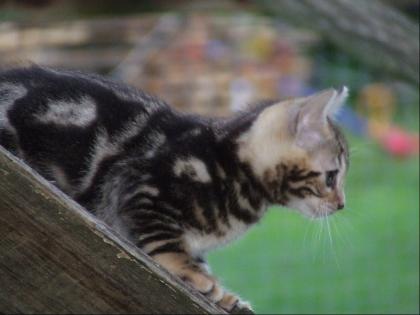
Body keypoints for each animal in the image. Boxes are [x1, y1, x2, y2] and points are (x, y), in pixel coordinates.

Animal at [0, 66, 348, 312]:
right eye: (331, 177)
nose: (342, 205)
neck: (230, 163)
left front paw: (227, 298)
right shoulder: (140, 187)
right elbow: (166, 242)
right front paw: (194, 275)